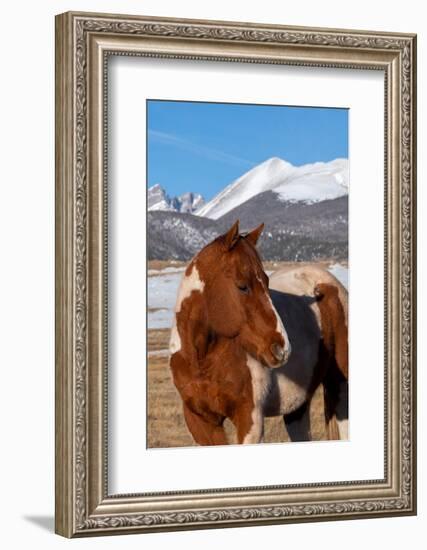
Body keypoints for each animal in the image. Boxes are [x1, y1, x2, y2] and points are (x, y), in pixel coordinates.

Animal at [169, 222, 350, 446]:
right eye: (242, 286)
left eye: (266, 281)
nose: (282, 348)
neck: (202, 360)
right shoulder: (201, 422)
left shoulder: (250, 420)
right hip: (298, 407)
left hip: (341, 389)